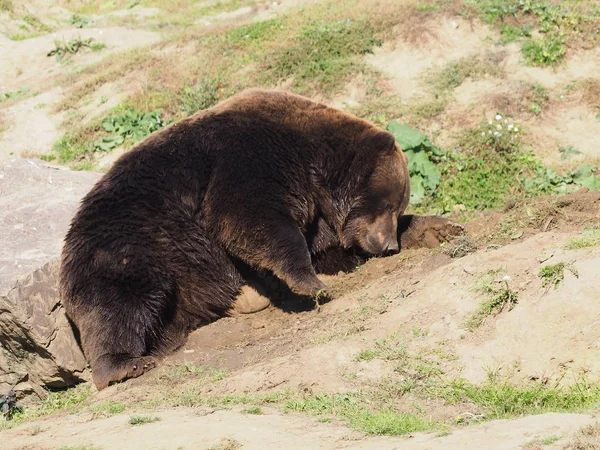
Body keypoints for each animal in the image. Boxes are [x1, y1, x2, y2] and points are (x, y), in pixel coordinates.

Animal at [62, 89, 418, 390]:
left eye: (399, 206)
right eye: (389, 204)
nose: (389, 245)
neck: (315, 161)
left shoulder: (314, 206)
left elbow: (322, 246)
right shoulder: (250, 158)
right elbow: (247, 218)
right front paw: (312, 284)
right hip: (130, 247)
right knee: (120, 306)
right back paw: (125, 365)